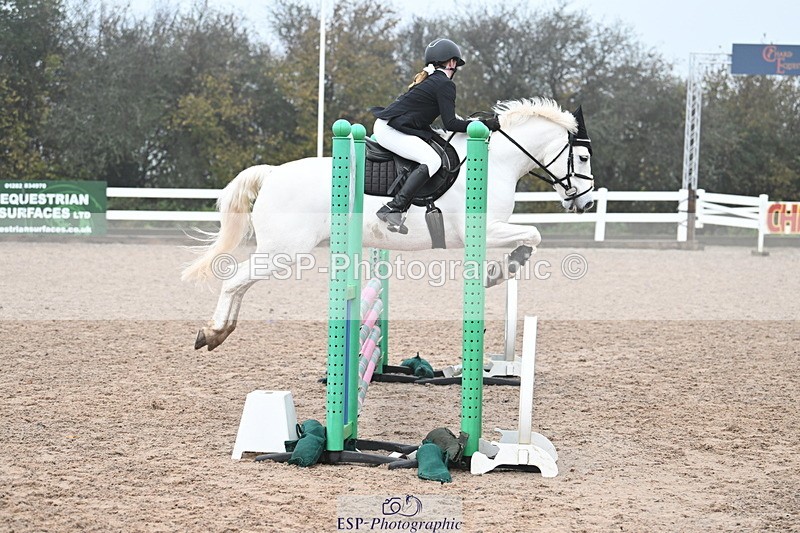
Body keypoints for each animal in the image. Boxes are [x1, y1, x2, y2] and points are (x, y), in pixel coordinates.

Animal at [182, 97, 595, 351]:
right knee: (235, 280)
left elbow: (531, 235)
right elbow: (533, 234)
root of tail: (272, 173)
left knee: (240, 284)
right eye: (584, 157)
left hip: (280, 250)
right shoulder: (485, 230)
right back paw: (213, 331)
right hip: (284, 250)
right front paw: (503, 269)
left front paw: (504, 267)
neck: (498, 161)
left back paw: (220, 332)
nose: (587, 202)